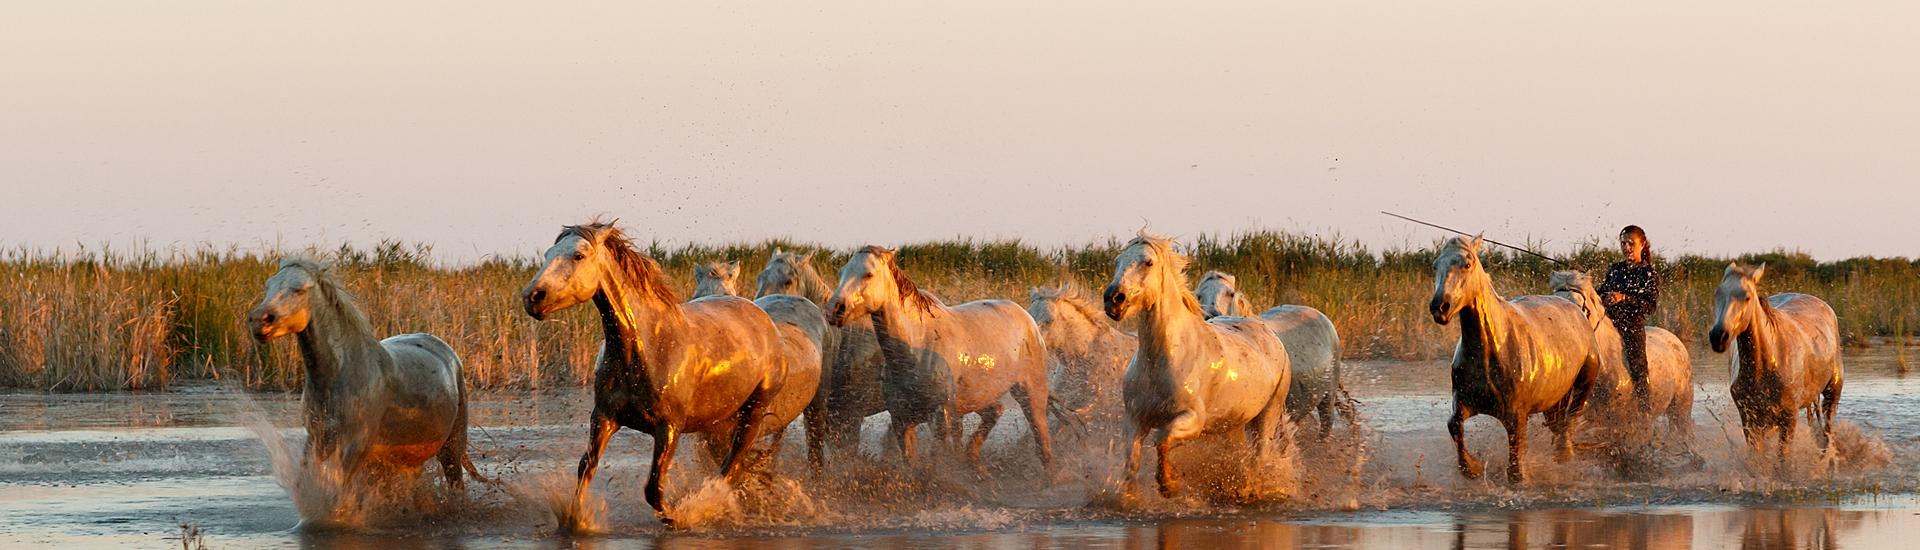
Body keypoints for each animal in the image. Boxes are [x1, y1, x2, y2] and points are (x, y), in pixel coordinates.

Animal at [518, 222, 802, 526]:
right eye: (548, 254)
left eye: (578, 255)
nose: (532, 297)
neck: (647, 347)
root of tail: (766, 322)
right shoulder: (604, 417)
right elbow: (586, 468)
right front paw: (577, 520)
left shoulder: (668, 427)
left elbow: (654, 489)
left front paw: (679, 516)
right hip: (721, 419)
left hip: (754, 411)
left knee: (732, 466)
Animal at [821, 246, 1059, 473]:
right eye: (841, 272)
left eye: (868, 274)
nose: (834, 309)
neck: (916, 347)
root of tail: (1027, 318)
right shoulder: (901, 421)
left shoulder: (940, 419)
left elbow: (940, 462)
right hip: (977, 398)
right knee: (995, 412)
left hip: (1031, 394)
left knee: (1043, 445)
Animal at [1098, 231, 1290, 500]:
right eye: (1117, 261)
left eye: (1148, 262)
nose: (1113, 299)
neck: (1164, 359)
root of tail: (1268, 332)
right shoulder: (1135, 420)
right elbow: (1131, 462)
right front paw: (1130, 496)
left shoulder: (1193, 419)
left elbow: (1163, 440)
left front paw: (1169, 485)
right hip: (1233, 423)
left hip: (1268, 414)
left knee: (1258, 457)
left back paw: (1246, 491)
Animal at [1712, 263, 1843, 461]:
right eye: (1717, 294)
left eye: (1747, 297)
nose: (1718, 336)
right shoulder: (1750, 419)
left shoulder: (1789, 418)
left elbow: (1783, 460)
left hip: (1832, 393)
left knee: (1826, 435)